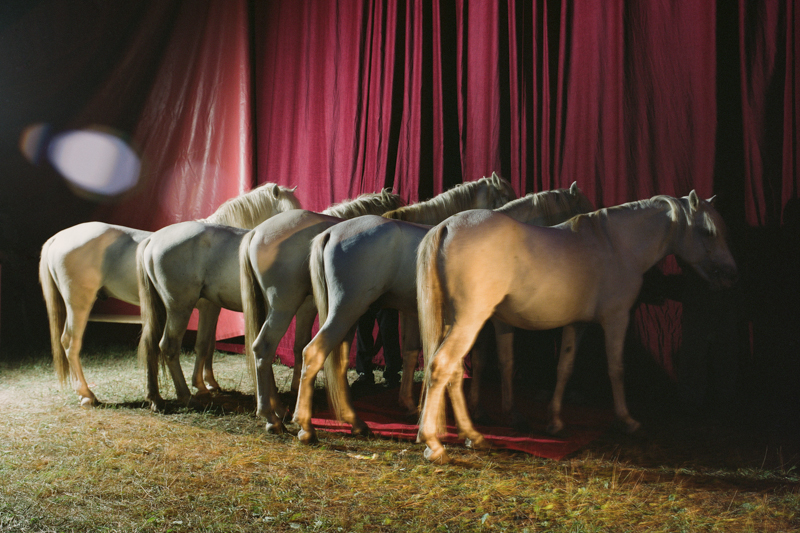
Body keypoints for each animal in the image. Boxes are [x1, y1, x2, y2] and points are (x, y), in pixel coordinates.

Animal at [38, 182, 300, 407]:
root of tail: (57, 238)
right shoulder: (207, 307)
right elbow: (203, 345)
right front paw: (201, 386)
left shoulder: (210, 308)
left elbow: (207, 345)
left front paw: (208, 384)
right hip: (79, 303)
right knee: (71, 342)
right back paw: (87, 394)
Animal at [236, 191, 405, 433]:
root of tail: (256, 232)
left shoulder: (313, 307)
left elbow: (303, 346)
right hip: (284, 307)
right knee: (264, 347)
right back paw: (272, 416)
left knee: (263, 350)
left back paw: (277, 409)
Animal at [293, 184, 593, 444]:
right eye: (584, 207)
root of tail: (331, 233)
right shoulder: (492, 321)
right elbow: (502, 361)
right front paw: (509, 415)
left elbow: (438, 356)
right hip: (348, 308)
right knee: (314, 353)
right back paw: (308, 426)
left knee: (337, 360)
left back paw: (350, 422)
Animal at [415, 192, 738, 463]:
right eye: (708, 231)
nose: (731, 274)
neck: (617, 246)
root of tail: (448, 225)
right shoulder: (617, 318)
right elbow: (616, 369)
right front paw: (627, 421)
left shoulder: (577, 324)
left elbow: (565, 368)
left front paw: (555, 422)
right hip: (470, 319)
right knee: (442, 366)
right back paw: (434, 444)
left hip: (456, 321)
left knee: (454, 371)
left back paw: (473, 435)